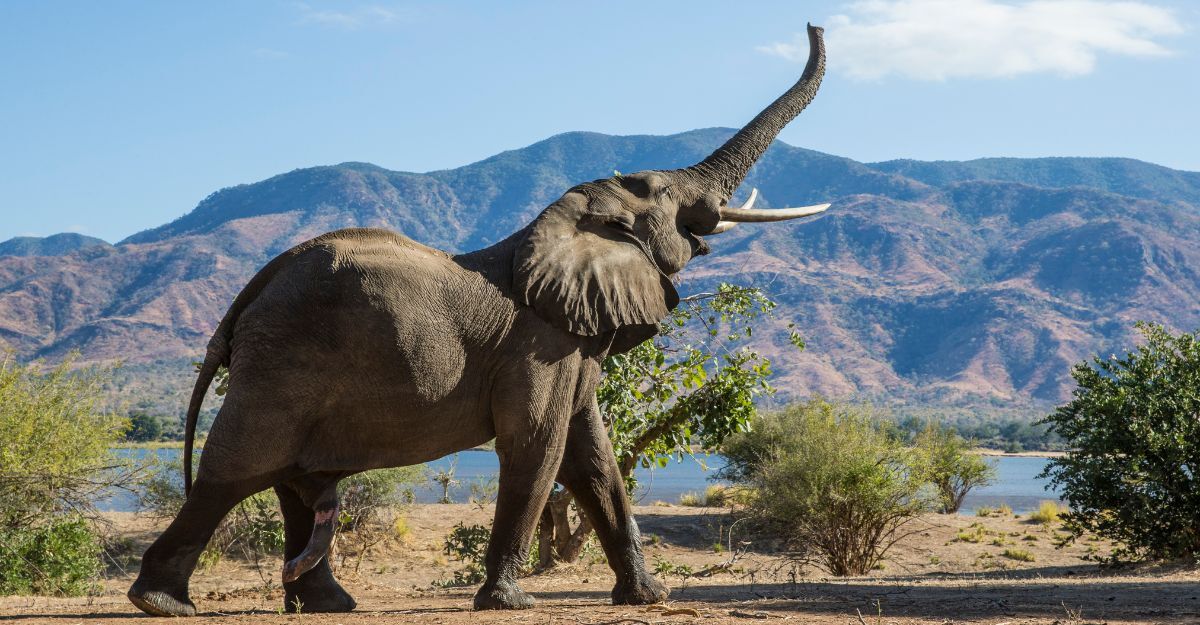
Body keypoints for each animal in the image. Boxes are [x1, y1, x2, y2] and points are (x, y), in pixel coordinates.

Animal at [128, 23, 827, 617]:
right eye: (664, 195)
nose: (815, 25)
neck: (561, 225)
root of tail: (250, 294)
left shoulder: (571, 344)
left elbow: (593, 456)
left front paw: (648, 598)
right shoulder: (538, 347)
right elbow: (538, 446)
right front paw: (510, 603)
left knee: (292, 483)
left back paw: (327, 605)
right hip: (282, 363)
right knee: (235, 472)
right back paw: (160, 603)